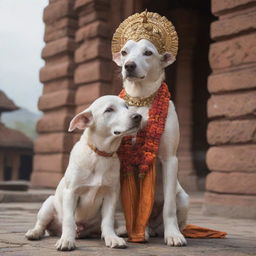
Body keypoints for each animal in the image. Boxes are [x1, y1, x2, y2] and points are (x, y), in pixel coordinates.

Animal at [25, 95, 142, 250]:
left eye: (127, 107)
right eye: (109, 110)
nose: (138, 117)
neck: (100, 155)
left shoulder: (111, 194)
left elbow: (108, 220)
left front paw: (112, 238)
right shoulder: (71, 192)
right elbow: (69, 220)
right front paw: (66, 240)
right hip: (48, 205)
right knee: (42, 224)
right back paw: (35, 233)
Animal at [112, 10, 190, 246]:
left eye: (148, 52)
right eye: (125, 52)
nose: (128, 65)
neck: (141, 99)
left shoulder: (170, 158)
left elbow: (169, 207)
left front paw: (173, 234)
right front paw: (137, 231)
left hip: (184, 197)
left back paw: (163, 230)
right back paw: (132, 229)